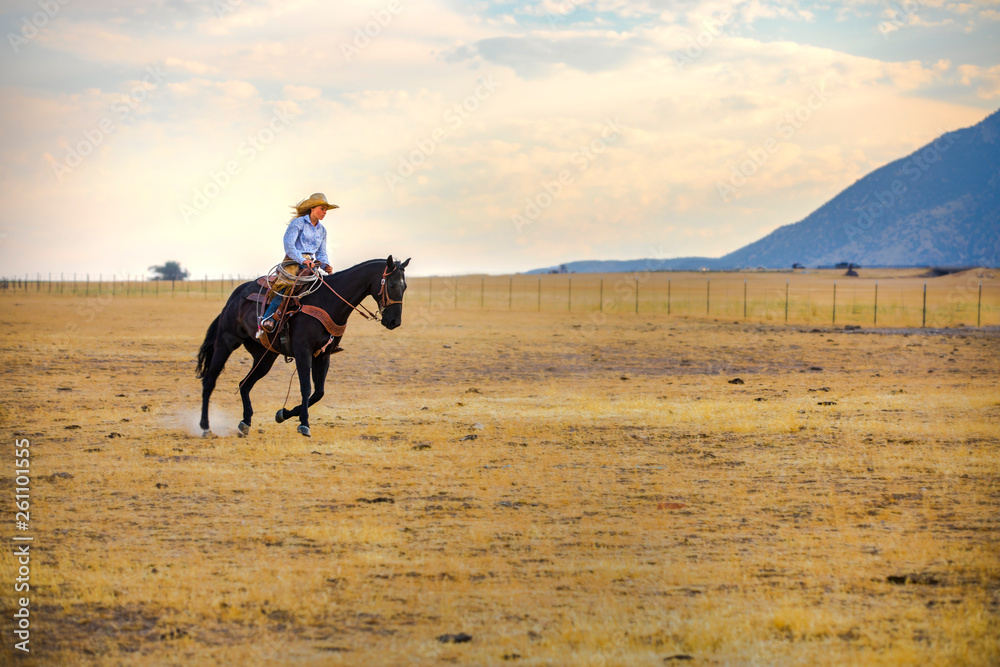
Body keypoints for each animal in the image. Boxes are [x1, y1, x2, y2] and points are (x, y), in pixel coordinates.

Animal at [197, 256, 408, 438]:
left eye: (405, 286)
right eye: (392, 285)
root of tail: (234, 297)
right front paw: (304, 424)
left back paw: (245, 422)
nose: (394, 321)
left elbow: (318, 393)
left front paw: (284, 414)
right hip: (226, 342)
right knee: (209, 381)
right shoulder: (302, 352)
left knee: (244, 384)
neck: (328, 302)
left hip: (265, 356)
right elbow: (306, 388)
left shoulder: (323, 355)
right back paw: (205, 427)